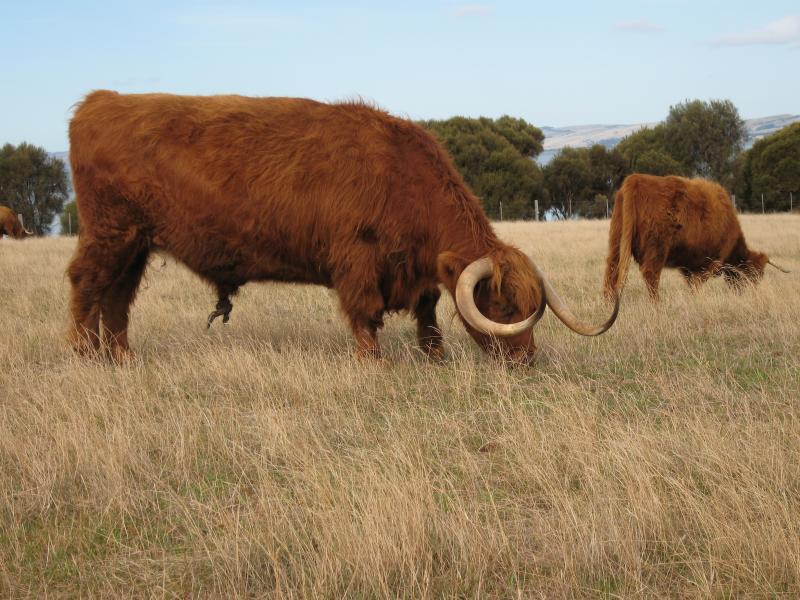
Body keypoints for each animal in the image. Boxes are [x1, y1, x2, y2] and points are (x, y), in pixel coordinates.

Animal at [68, 91, 618, 362]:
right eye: (501, 306)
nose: (526, 360)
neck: (402, 178)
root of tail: (100, 100)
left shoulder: (418, 272)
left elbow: (427, 309)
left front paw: (435, 355)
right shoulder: (356, 262)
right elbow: (366, 314)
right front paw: (372, 362)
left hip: (135, 244)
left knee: (117, 297)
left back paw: (121, 356)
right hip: (111, 234)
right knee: (87, 283)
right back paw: (85, 353)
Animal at [603, 174, 788, 300]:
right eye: (755, 275)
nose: (747, 293)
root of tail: (635, 179)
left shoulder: (690, 266)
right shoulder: (711, 262)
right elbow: (697, 284)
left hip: (617, 243)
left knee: (612, 271)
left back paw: (608, 303)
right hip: (657, 247)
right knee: (651, 274)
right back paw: (657, 305)